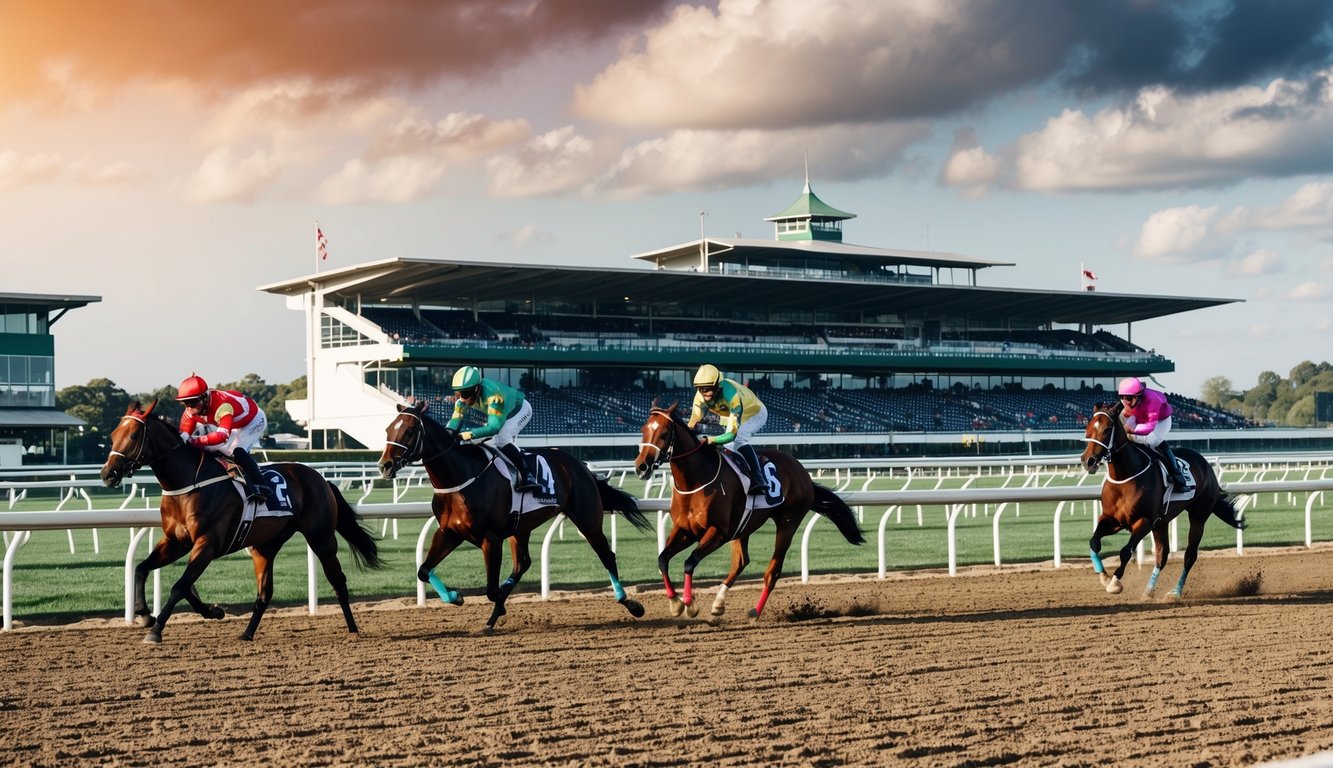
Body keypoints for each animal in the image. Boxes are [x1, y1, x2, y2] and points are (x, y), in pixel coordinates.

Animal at [97, 400, 381, 645]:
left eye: (134, 436)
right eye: (112, 435)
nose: (107, 474)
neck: (189, 481)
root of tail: (320, 478)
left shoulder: (208, 543)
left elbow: (179, 586)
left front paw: (156, 630)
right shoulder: (176, 542)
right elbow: (144, 570)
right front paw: (149, 613)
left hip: (321, 539)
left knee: (338, 582)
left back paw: (353, 629)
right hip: (265, 546)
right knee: (264, 593)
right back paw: (246, 634)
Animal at [378, 402, 653, 629]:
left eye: (409, 431)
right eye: (388, 429)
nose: (384, 465)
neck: (460, 479)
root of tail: (578, 464)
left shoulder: (490, 538)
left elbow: (491, 590)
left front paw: (493, 602)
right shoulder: (450, 532)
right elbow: (423, 570)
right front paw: (456, 597)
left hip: (588, 520)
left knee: (607, 556)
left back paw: (630, 604)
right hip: (520, 528)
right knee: (522, 564)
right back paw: (493, 615)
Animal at [631, 402, 863, 618]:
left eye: (664, 433)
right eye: (643, 429)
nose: (641, 466)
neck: (696, 481)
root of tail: (802, 472)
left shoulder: (718, 532)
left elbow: (689, 562)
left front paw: (690, 604)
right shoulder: (685, 530)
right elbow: (663, 559)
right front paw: (675, 603)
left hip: (788, 521)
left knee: (772, 572)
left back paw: (755, 612)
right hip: (744, 526)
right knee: (741, 562)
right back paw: (718, 604)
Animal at [1077, 402, 1242, 600]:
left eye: (1107, 429)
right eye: (1087, 428)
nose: (1088, 461)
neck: (1124, 478)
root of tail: (1206, 466)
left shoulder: (1144, 521)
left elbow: (1125, 551)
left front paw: (1115, 583)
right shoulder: (1112, 519)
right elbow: (1094, 542)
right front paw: (1104, 577)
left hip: (1198, 515)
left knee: (1190, 555)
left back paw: (1175, 592)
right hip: (1161, 522)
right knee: (1162, 556)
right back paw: (1148, 591)